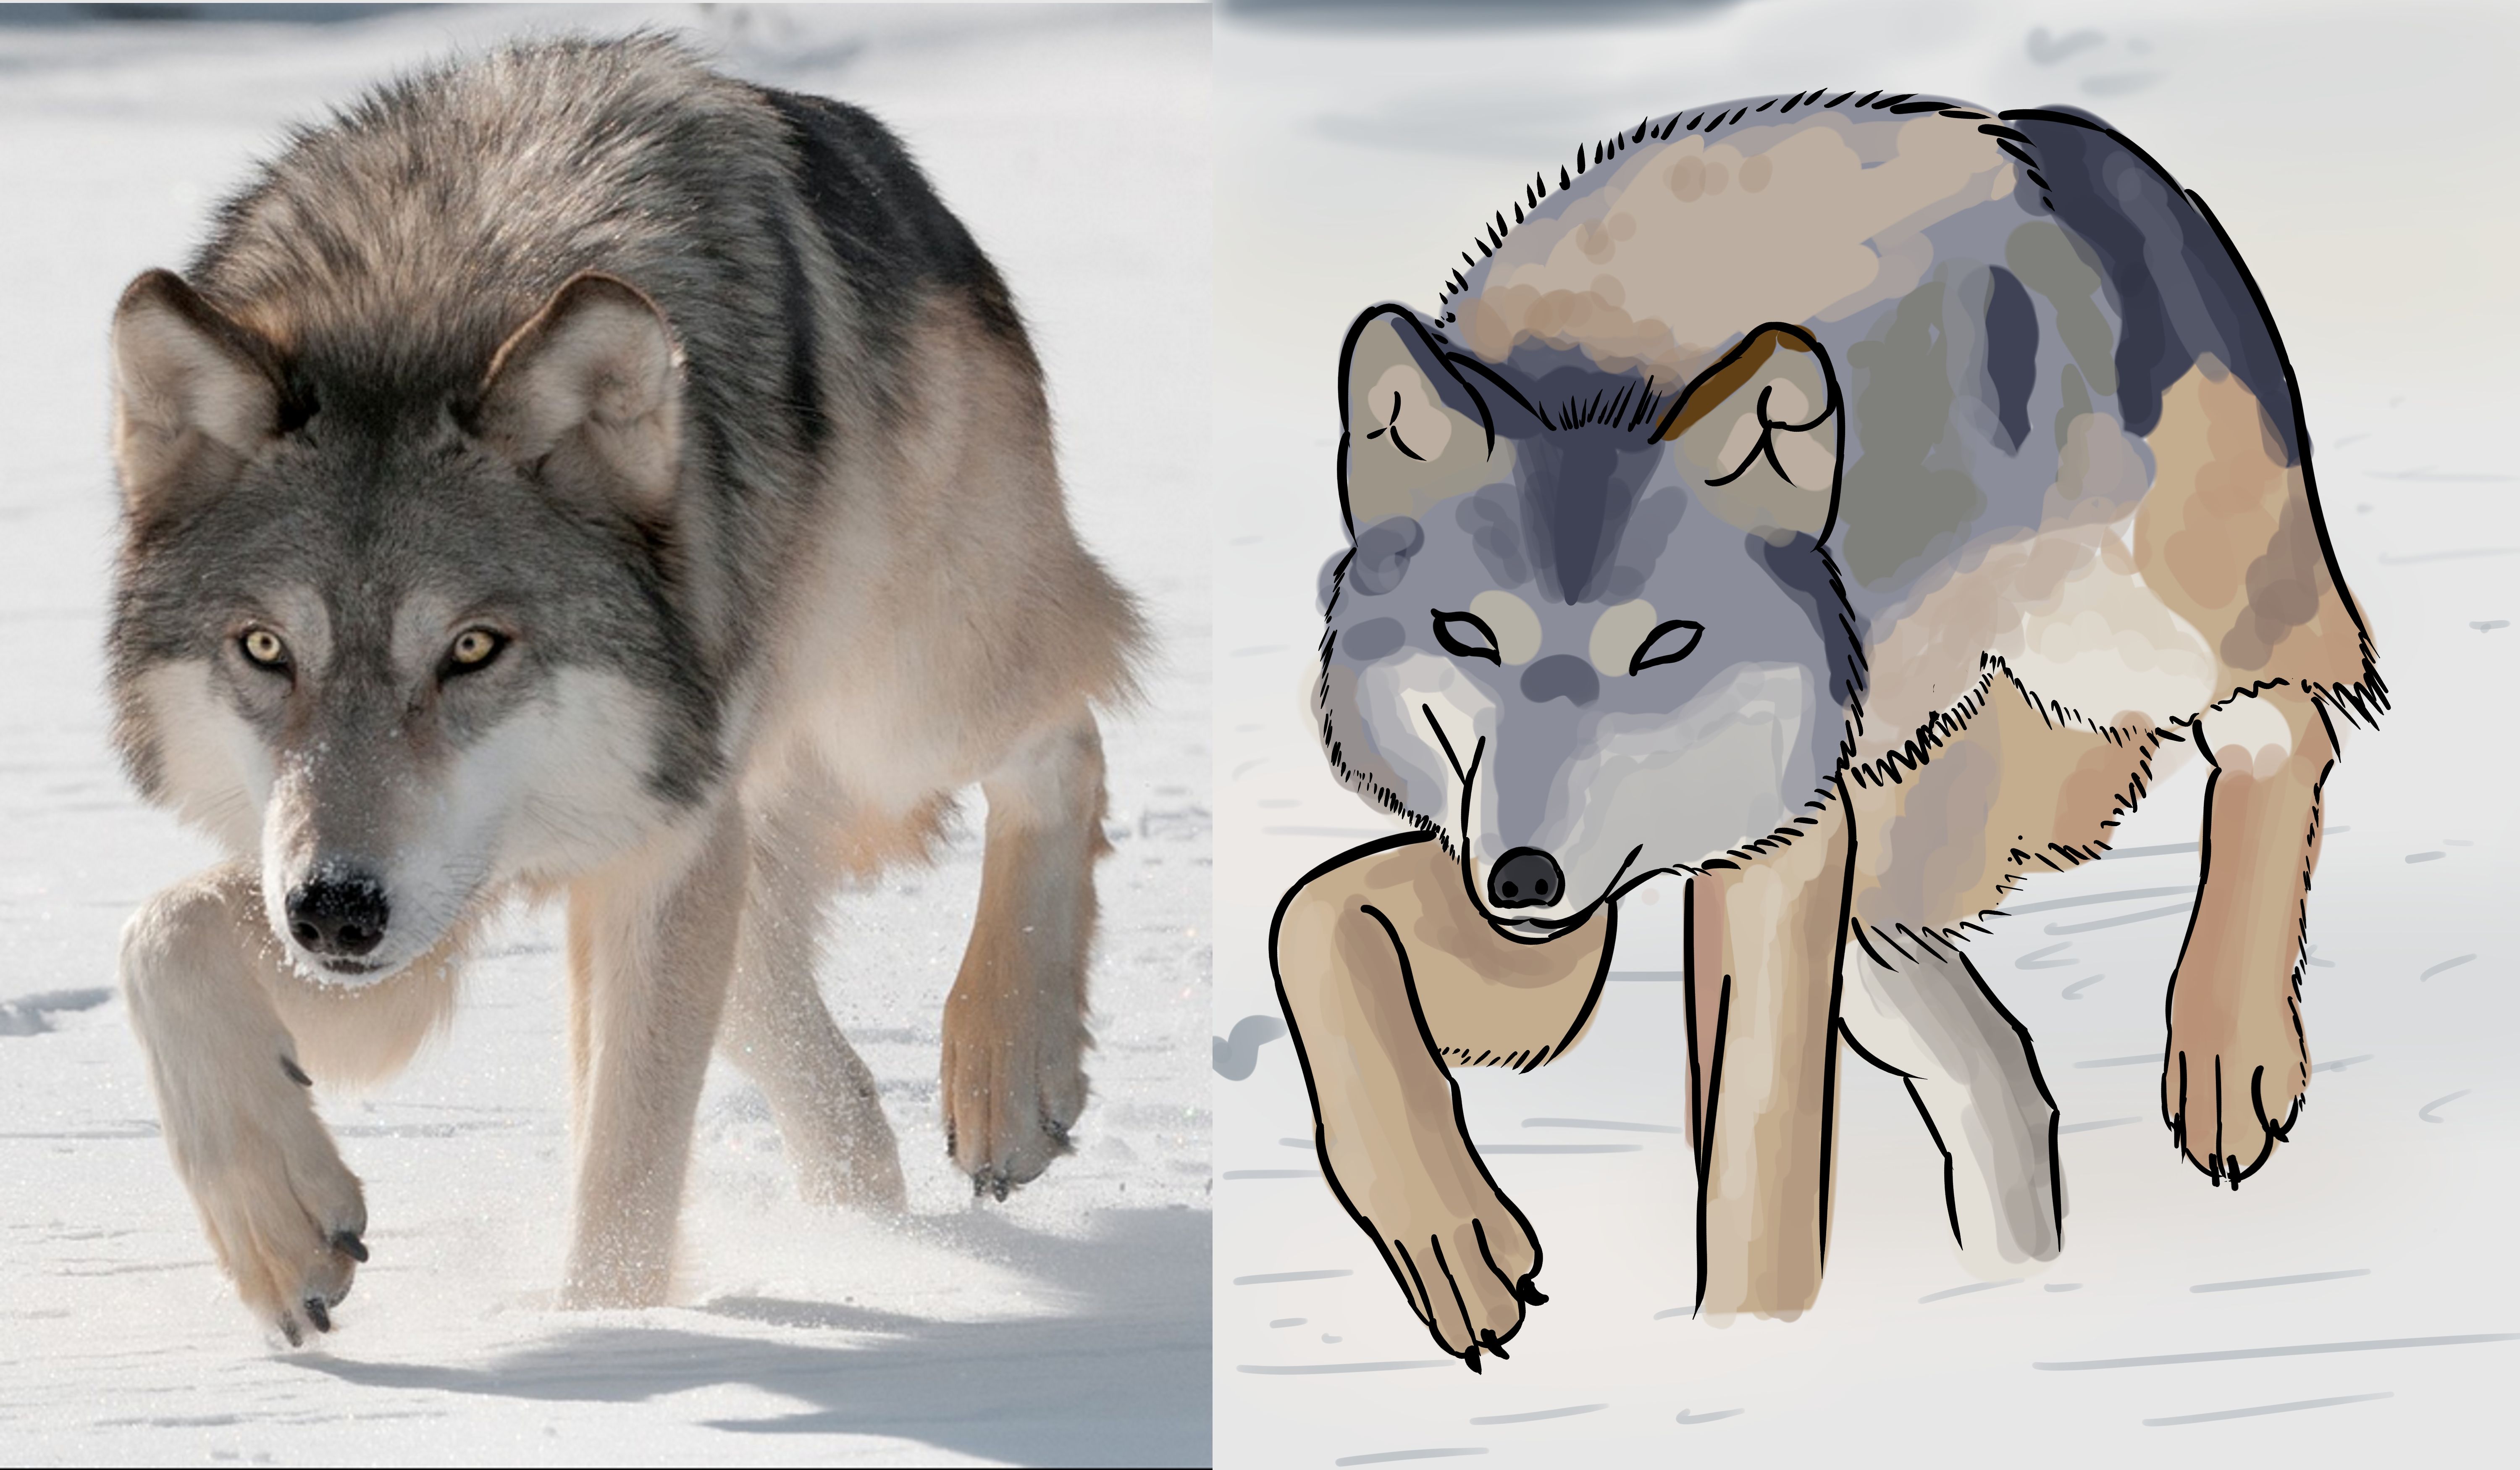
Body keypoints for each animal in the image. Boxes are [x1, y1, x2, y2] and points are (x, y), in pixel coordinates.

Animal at [106, 35, 1142, 1342]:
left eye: (473, 649)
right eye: (262, 649)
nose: (336, 911)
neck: (424, 291)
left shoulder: (635, 854)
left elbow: (629, 1168)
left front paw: (606, 1338)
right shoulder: (416, 916)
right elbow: (161, 935)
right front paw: (281, 1231)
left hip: (897, 706)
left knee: (1066, 737)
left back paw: (1005, 1080)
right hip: (712, 836)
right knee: (813, 1059)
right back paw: (868, 1232)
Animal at [1272, 92, 2379, 1367]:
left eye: (1665, 647)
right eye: (1466, 636)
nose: (1527, 876)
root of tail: (2054, 137)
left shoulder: (1771, 854)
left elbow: (1757, 1170)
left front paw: (1746, 1335)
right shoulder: (1544, 911)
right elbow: (1313, 918)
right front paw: (1455, 1240)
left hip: (2129, 653)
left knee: (2283, 726)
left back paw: (2228, 1057)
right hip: (1890, 900)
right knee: (2010, 1083)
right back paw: (2013, 1288)